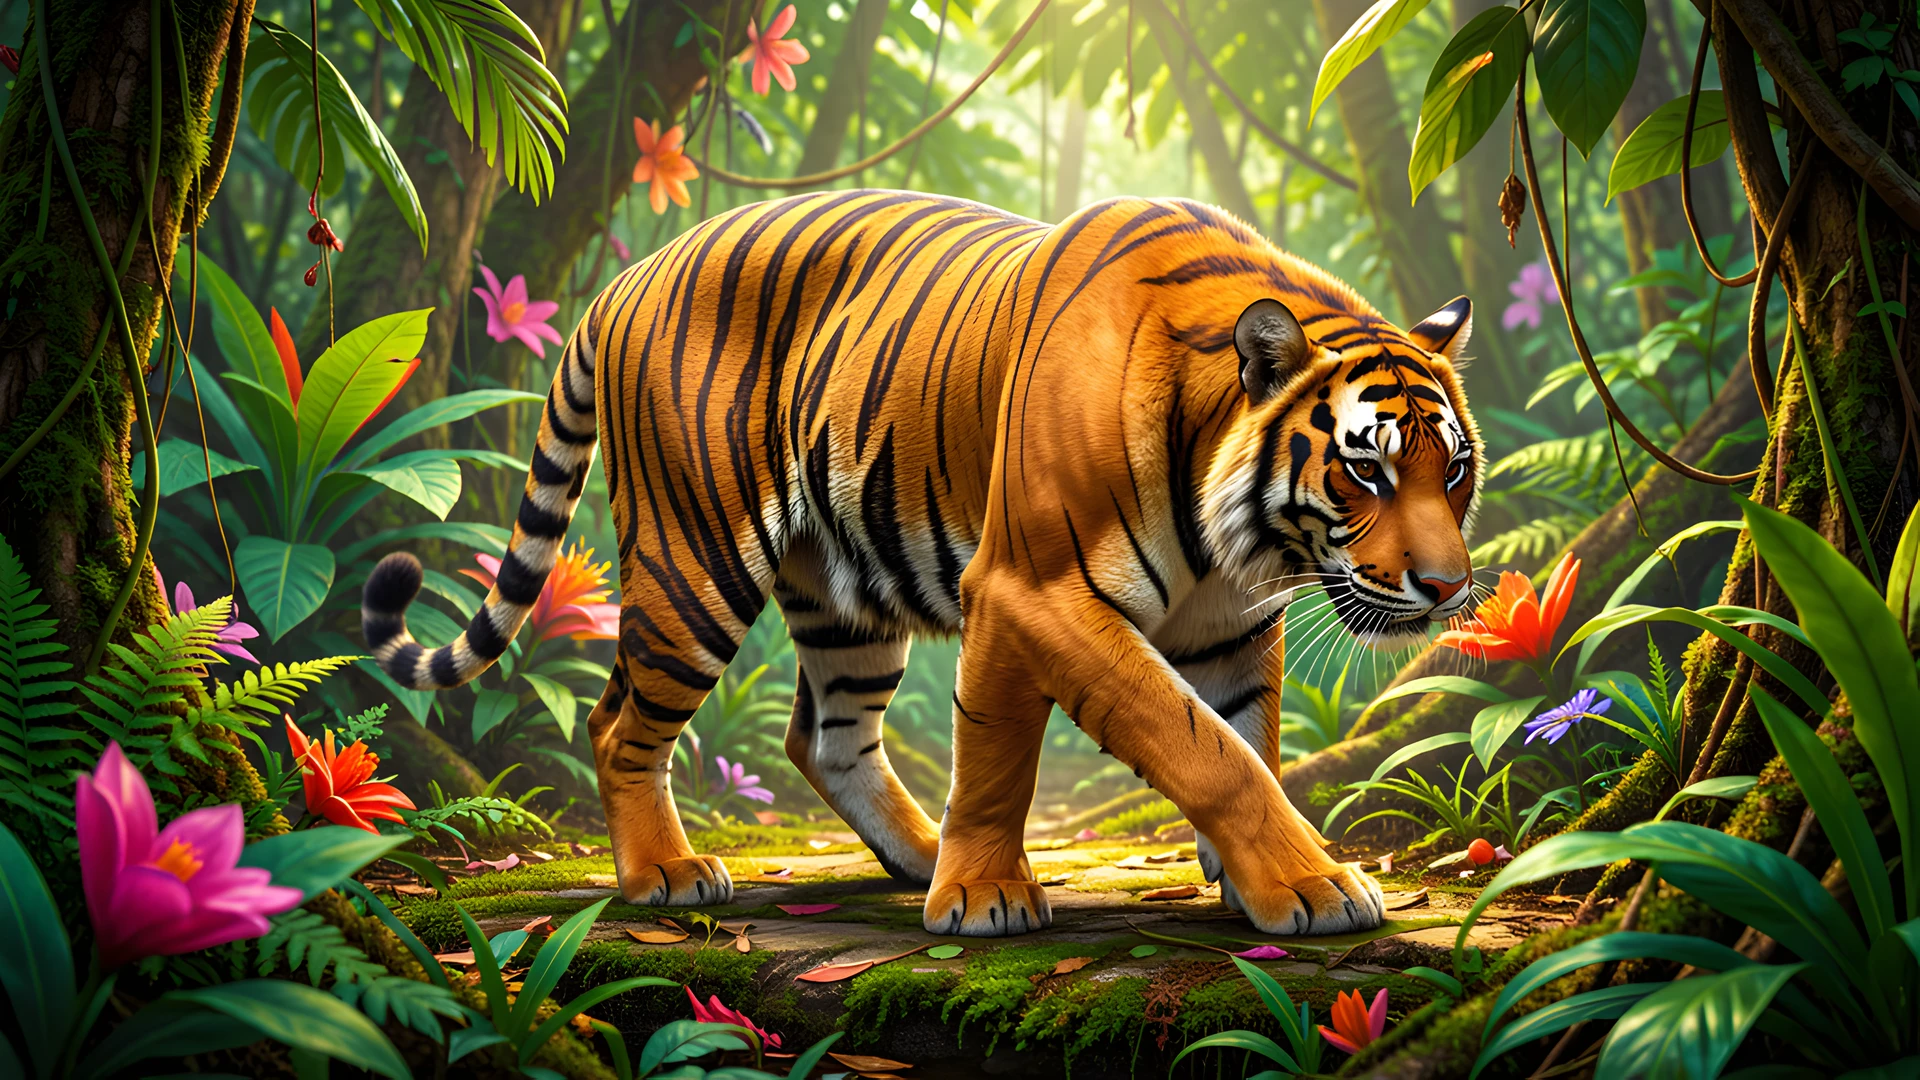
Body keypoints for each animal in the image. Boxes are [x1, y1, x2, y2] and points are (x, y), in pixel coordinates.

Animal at [362, 191, 1482, 937]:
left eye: (1455, 471)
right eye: (1366, 470)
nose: (1446, 590)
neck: (1237, 543)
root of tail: (622, 280)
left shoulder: (1232, 626)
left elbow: (1249, 743)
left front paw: (1263, 877)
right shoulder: (1032, 590)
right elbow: (1156, 749)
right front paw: (988, 896)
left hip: (844, 595)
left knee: (828, 737)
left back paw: (913, 856)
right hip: (695, 565)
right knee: (616, 723)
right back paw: (665, 874)